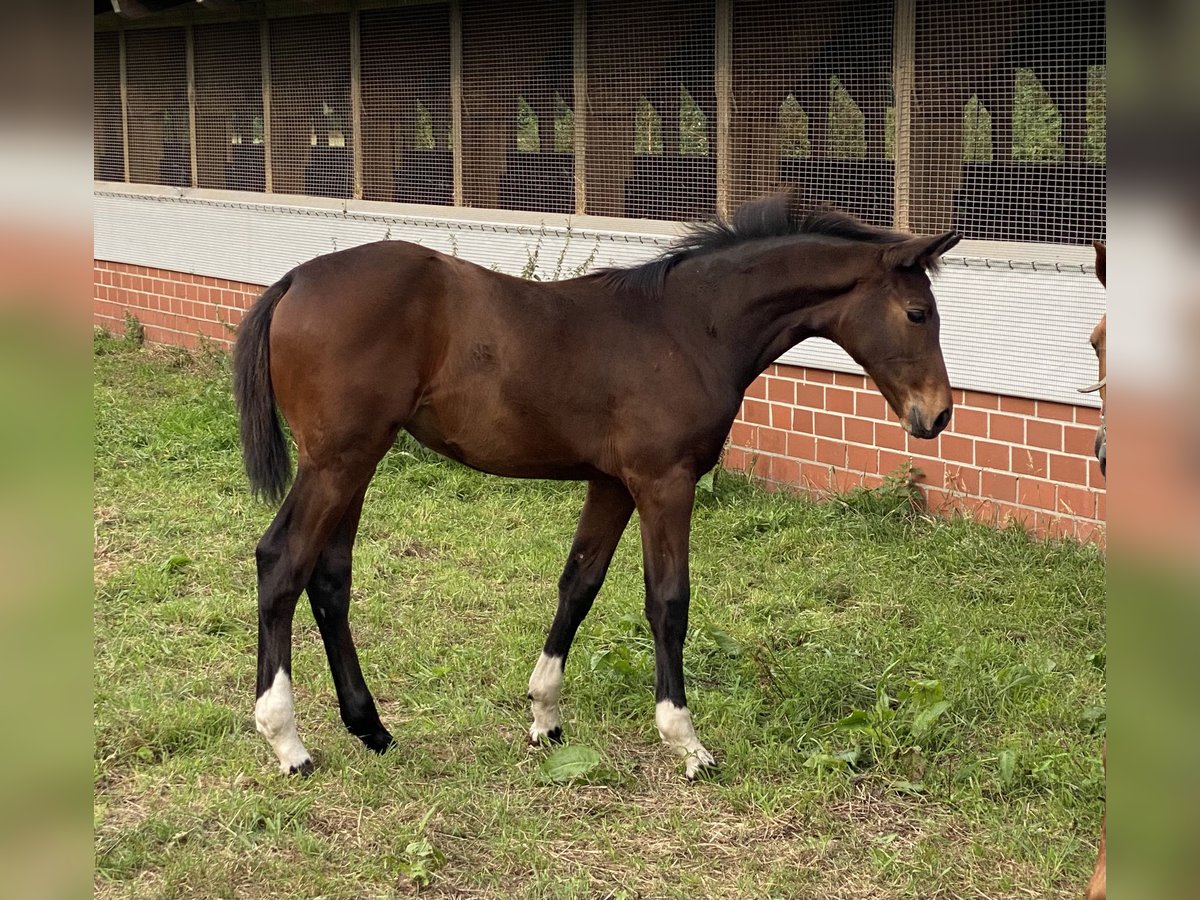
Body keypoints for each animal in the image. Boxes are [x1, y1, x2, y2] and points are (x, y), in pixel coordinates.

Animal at [234, 194, 955, 777]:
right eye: (918, 313)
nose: (938, 415)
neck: (688, 327)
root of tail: (294, 280)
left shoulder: (611, 483)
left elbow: (578, 585)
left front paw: (544, 717)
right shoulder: (665, 482)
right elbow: (668, 602)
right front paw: (686, 742)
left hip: (356, 461)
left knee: (330, 578)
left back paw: (371, 728)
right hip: (337, 461)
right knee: (282, 562)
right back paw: (287, 741)